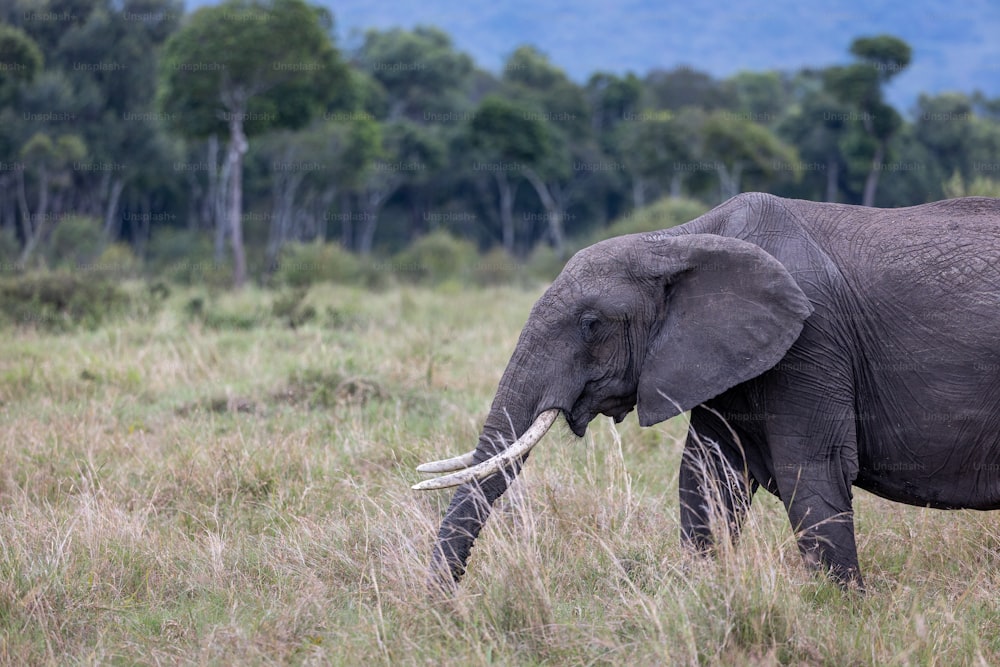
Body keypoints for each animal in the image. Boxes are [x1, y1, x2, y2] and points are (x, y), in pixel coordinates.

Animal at [412, 190, 1000, 592]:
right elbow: (707, 476)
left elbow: (811, 470)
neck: (678, 239)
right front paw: (701, 594)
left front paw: (844, 608)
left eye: (591, 325)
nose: (442, 605)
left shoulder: (812, 341)